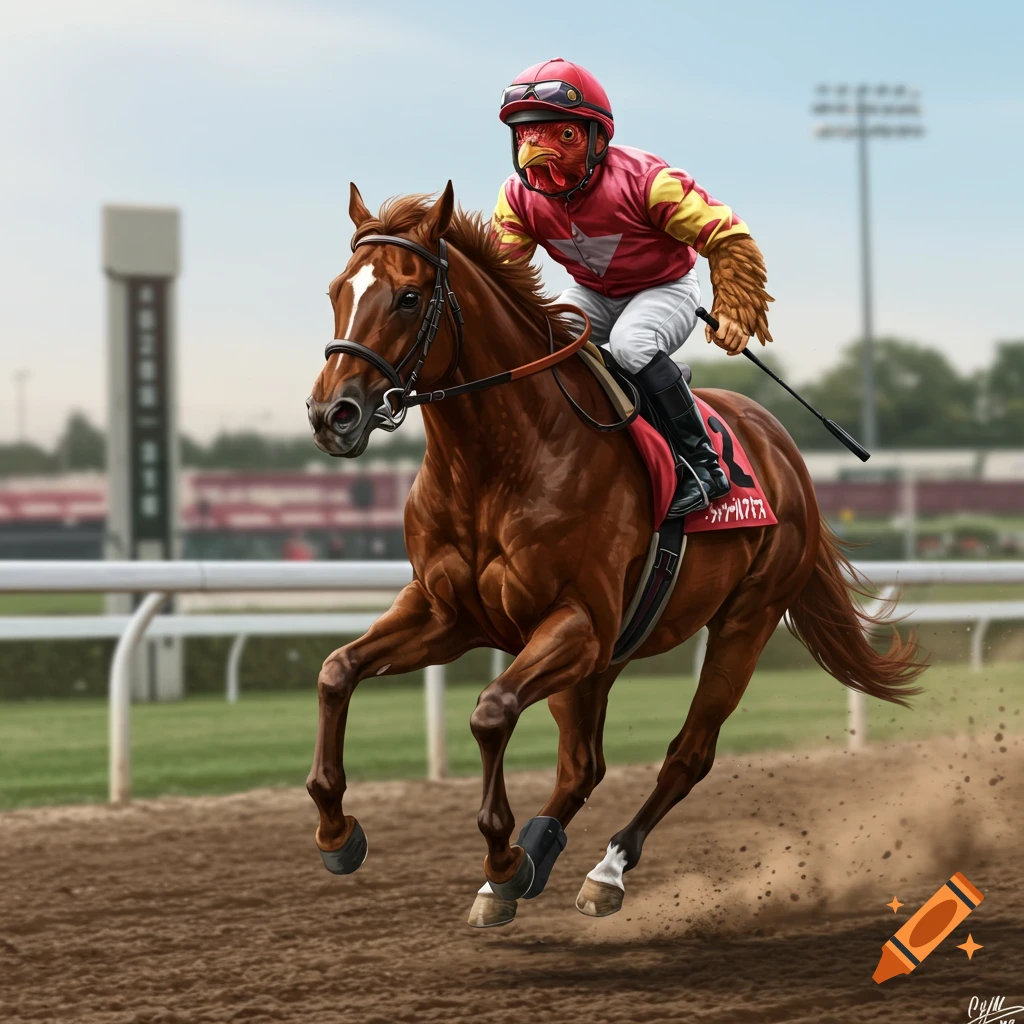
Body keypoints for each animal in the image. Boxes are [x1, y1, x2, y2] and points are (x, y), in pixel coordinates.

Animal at [304, 181, 925, 928]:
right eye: (337, 290)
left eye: (407, 296)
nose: (331, 415)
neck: (499, 462)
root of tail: (782, 446)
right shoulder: (446, 614)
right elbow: (337, 671)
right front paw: (338, 832)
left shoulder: (579, 622)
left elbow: (491, 711)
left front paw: (501, 856)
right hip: (611, 652)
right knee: (584, 764)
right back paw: (538, 853)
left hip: (743, 620)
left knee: (687, 754)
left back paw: (604, 869)